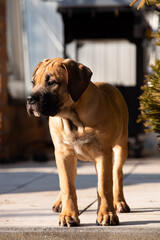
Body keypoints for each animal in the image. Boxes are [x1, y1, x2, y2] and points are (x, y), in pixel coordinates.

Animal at [26, 57, 130, 227]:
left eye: (52, 83)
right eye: (33, 82)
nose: (29, 99)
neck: (72, 119)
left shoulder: (103, 154)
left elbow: (104, 186)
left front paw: (106, 214)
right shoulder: (63, 154)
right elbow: (67, 186)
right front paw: (68, 215)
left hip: (120, 148)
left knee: (117, 174)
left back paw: (120, 202)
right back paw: (60, 203)